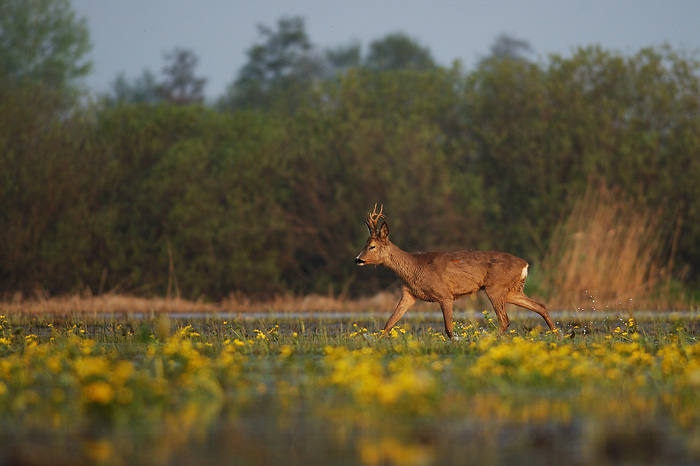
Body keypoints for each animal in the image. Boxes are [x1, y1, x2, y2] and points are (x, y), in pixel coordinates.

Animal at [356, 205, 556, 338]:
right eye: (364, 244)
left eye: (372, 246)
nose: (357, 259)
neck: (414, 268)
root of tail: (525, 265)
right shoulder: (409, 294)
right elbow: (389, 323)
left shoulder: (445, 294)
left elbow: (449, 329)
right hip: (512, 290)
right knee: (541, 306)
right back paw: (558, 335)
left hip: (496, 288)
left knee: (505, 319)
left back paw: (489, 340)